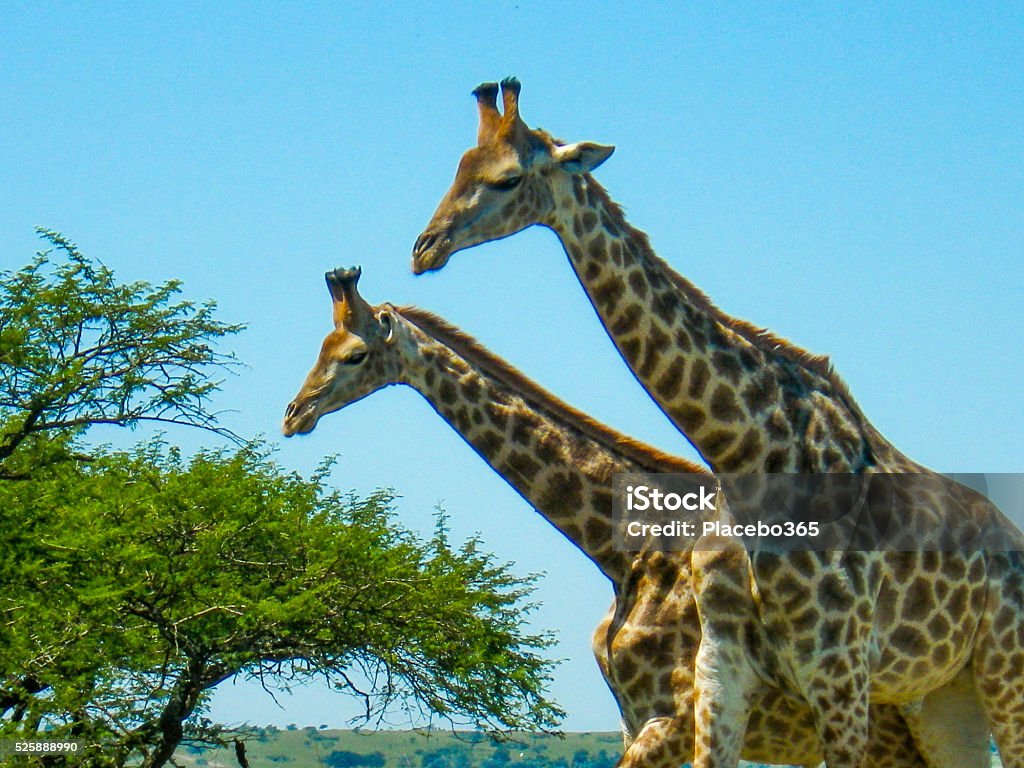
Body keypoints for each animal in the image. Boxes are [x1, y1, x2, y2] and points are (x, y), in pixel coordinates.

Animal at [280, 268, 937, 768]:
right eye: (318, 349)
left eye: (355, 354)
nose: (293, 414)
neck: (625, 551)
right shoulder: (635, 716)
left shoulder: (676, 716)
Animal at [409, 78, 1024, 768]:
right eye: (459, 168)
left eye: (508, 179)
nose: (424, 248)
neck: (751, 455)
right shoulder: (715, 676)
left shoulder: (831, 670)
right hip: (943, 700)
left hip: (1001, 671)